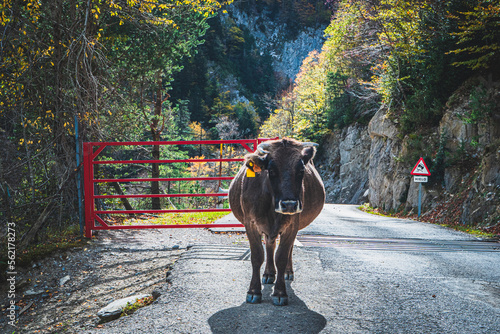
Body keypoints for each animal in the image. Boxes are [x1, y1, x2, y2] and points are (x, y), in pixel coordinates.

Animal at [229, 138, 326, 306]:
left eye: (301, 170)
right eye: (272, 170)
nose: (289, 204)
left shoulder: (292, 224)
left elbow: (281, 256)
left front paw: (280, 293)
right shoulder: (250, 223)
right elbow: (257, 256)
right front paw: (253, 291)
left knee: (287, 249)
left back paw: (287, 272)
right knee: (270, 245)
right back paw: (268, 274)